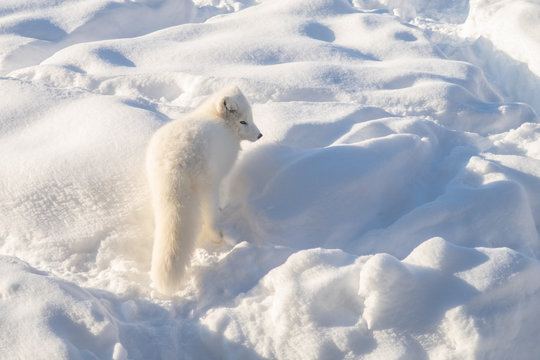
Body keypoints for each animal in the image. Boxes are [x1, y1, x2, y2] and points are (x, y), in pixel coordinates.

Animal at [143, 87, 262, 296]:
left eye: (250, 118)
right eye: (243, 121)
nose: (260, 135)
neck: (215, 118)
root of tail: (173, 162)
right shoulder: (223, 173)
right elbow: (224, 191)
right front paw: (224, 205)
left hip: (159, 190)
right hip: (207, 187)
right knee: (209, 218)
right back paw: (218, 235)